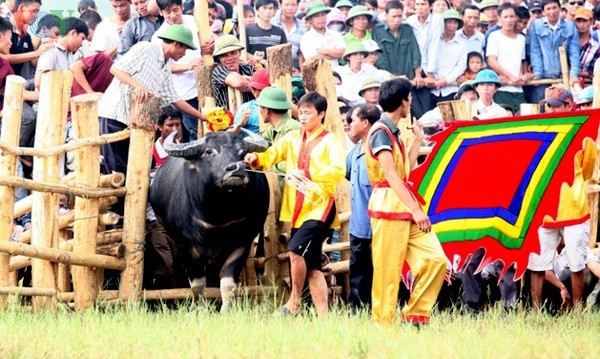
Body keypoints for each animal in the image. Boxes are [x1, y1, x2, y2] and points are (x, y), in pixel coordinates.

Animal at [150, 131, 270, 310]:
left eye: (242, 153)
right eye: (209, 151)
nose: (237, 169)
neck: (217, 215)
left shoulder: (243, 243)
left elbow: (227, 281)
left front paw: (227, 308)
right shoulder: (187, 247)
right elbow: (197, 283)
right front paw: (196, 308)